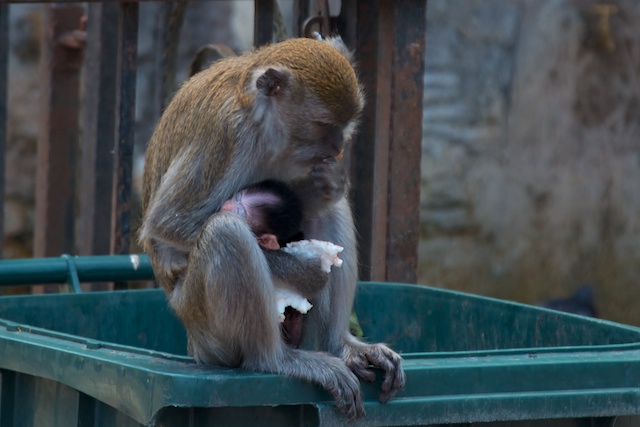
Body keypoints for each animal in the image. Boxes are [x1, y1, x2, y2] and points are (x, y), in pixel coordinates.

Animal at [139, 36, 404, 418]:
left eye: (347, 123)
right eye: (322, 124)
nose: (339, 146)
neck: (262, 125)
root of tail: (193, 343)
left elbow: (309, 201)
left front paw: (333, 182)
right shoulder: (227, 137)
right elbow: (169, 224)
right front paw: (306, 271)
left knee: (328, 212)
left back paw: (341, 344)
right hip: (205, 326)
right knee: (225, 232)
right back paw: (275, 359)